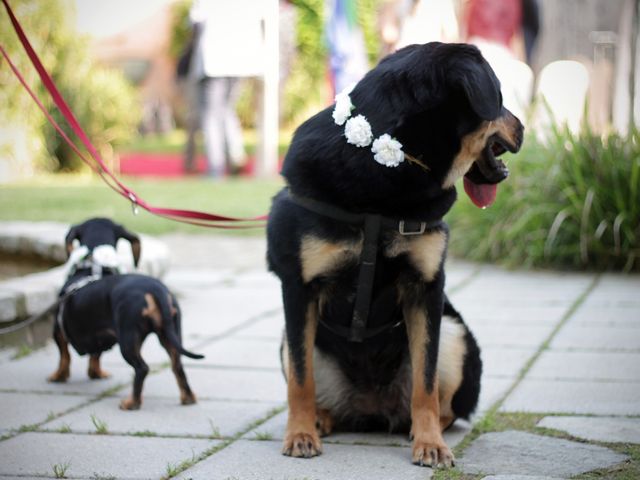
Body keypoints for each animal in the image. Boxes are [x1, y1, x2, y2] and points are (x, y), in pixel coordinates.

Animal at [49, 218, 204, 408]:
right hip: (169, 332)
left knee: (142, 368)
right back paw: (187, 398)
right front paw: (96, 373)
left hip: (128, 338)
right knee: (178, 366)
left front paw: (59, 376)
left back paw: (132, 403)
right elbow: (95, 355)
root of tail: (155, 290)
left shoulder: (58, 330)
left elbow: (64, 356)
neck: (95, 266)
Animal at [268, 43, 524, 466]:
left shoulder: (426, 290)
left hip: (455, 334)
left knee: (444, 403)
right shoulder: (298, 287)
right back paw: (320, 419)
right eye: (500, 96)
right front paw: (300, 434)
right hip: (287, 341)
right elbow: (301, 381)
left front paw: (430, 443)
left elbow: (426, 381)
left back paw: (420, 428)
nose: (522, 127)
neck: (383, 161)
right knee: (312, 382)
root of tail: (371, 409)